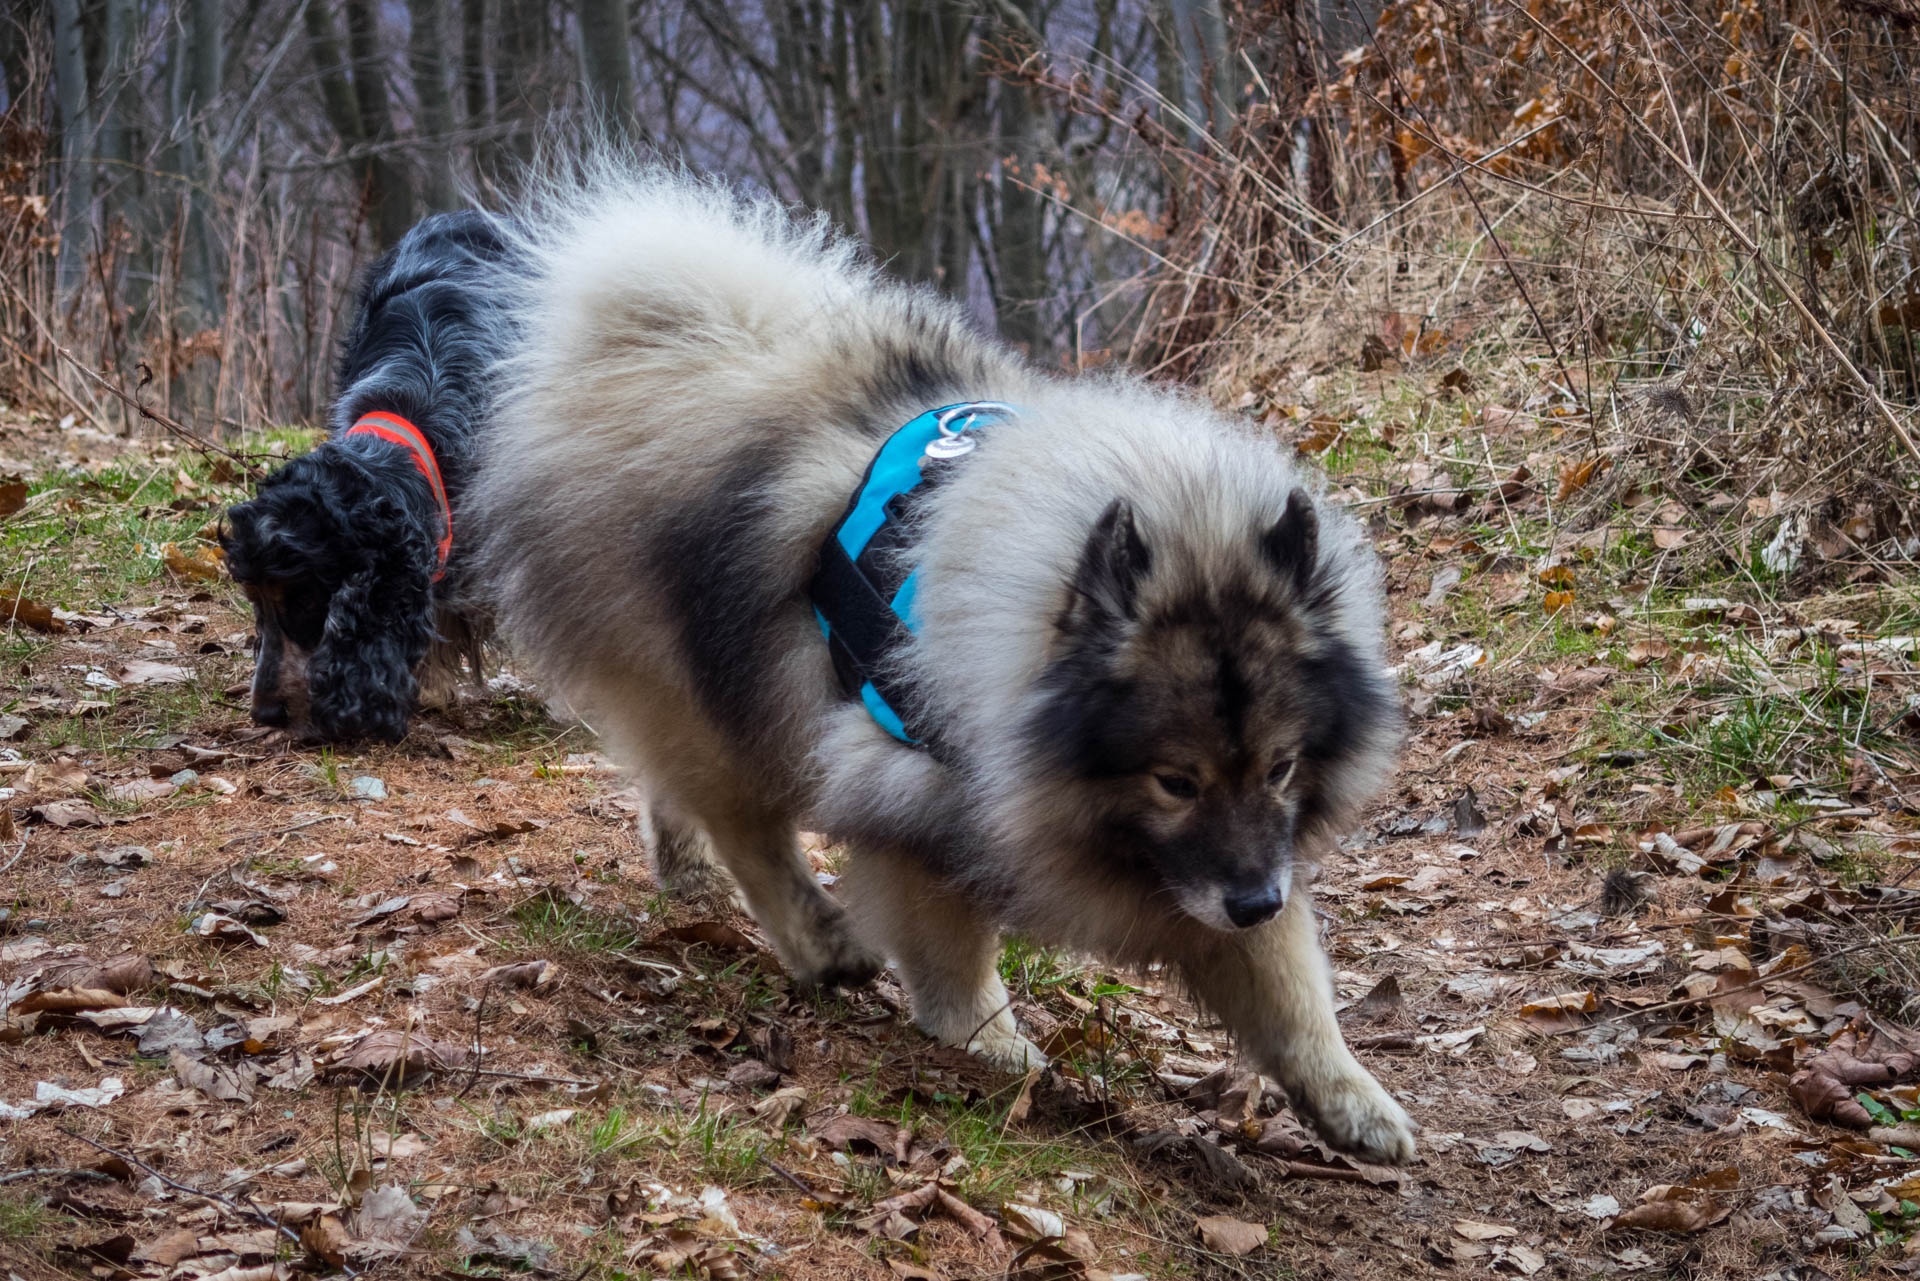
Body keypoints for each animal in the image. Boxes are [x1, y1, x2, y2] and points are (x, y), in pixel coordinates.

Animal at [474, 168, 1420, 1160]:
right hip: (720, 696)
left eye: (1281, 768)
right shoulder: (914, 795)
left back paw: (685, 869)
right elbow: (954, 948)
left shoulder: (1230, 866)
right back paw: (818, 939)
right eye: (1175, 781)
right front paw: (990, 1042)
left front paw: (1351, 1099)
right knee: (747, 824)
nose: (1255, 898)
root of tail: (668, 343)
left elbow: (1288, 987)